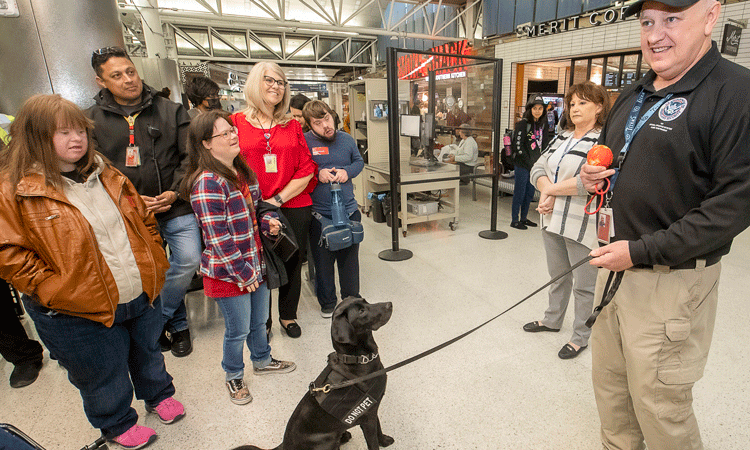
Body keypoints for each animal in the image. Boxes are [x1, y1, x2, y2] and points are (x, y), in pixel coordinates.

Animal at [236, 298, 396, 448]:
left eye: (365, 301)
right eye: (361, 311)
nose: (390, 304)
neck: (358, 360)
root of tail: (284, 445)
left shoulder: (373, 409)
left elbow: (379, 429)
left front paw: (384, 441)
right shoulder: (368, 418)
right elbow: (373, 441)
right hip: (327, 441)